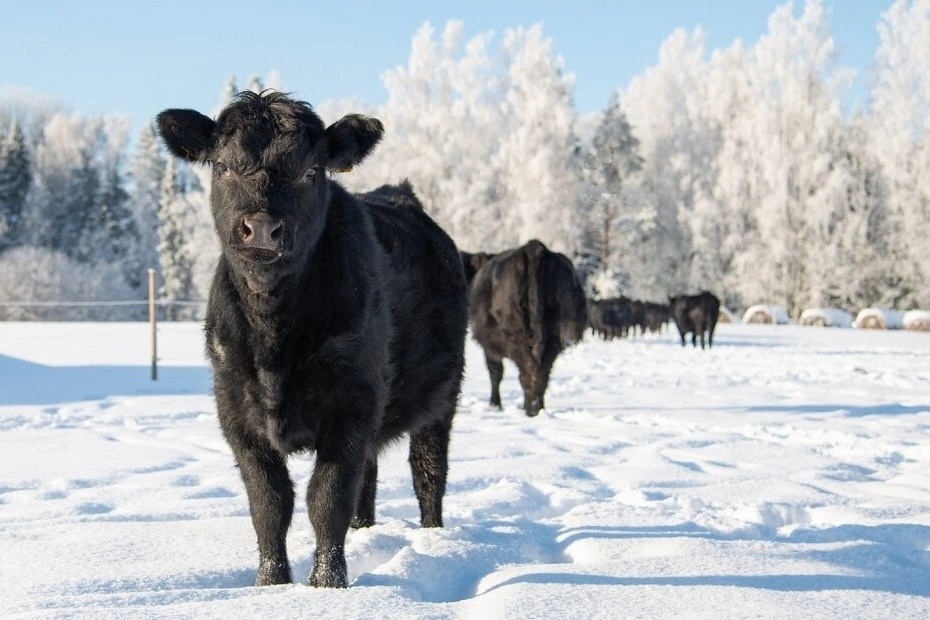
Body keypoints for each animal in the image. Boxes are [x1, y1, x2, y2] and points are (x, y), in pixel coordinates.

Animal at [158, 91, 472, 588]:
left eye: (310, 171)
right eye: (222, 166)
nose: (261, 228)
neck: (273, 339)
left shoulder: (351, 406)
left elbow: (327, 499)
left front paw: (327, 584)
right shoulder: (236, 413)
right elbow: (269, 503)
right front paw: (271, 583)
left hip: (442, 395)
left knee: (428, 472)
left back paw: (435, 538)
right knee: (369, 479)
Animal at [468, 237, 584, 416]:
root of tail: (534, 247)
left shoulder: (488, 344)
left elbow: (495, 372)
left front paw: (495, 405)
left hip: (514, 334)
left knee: (527, 371)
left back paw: (530, 409)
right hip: (557, 336)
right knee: (542, 372)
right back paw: (537, 408)